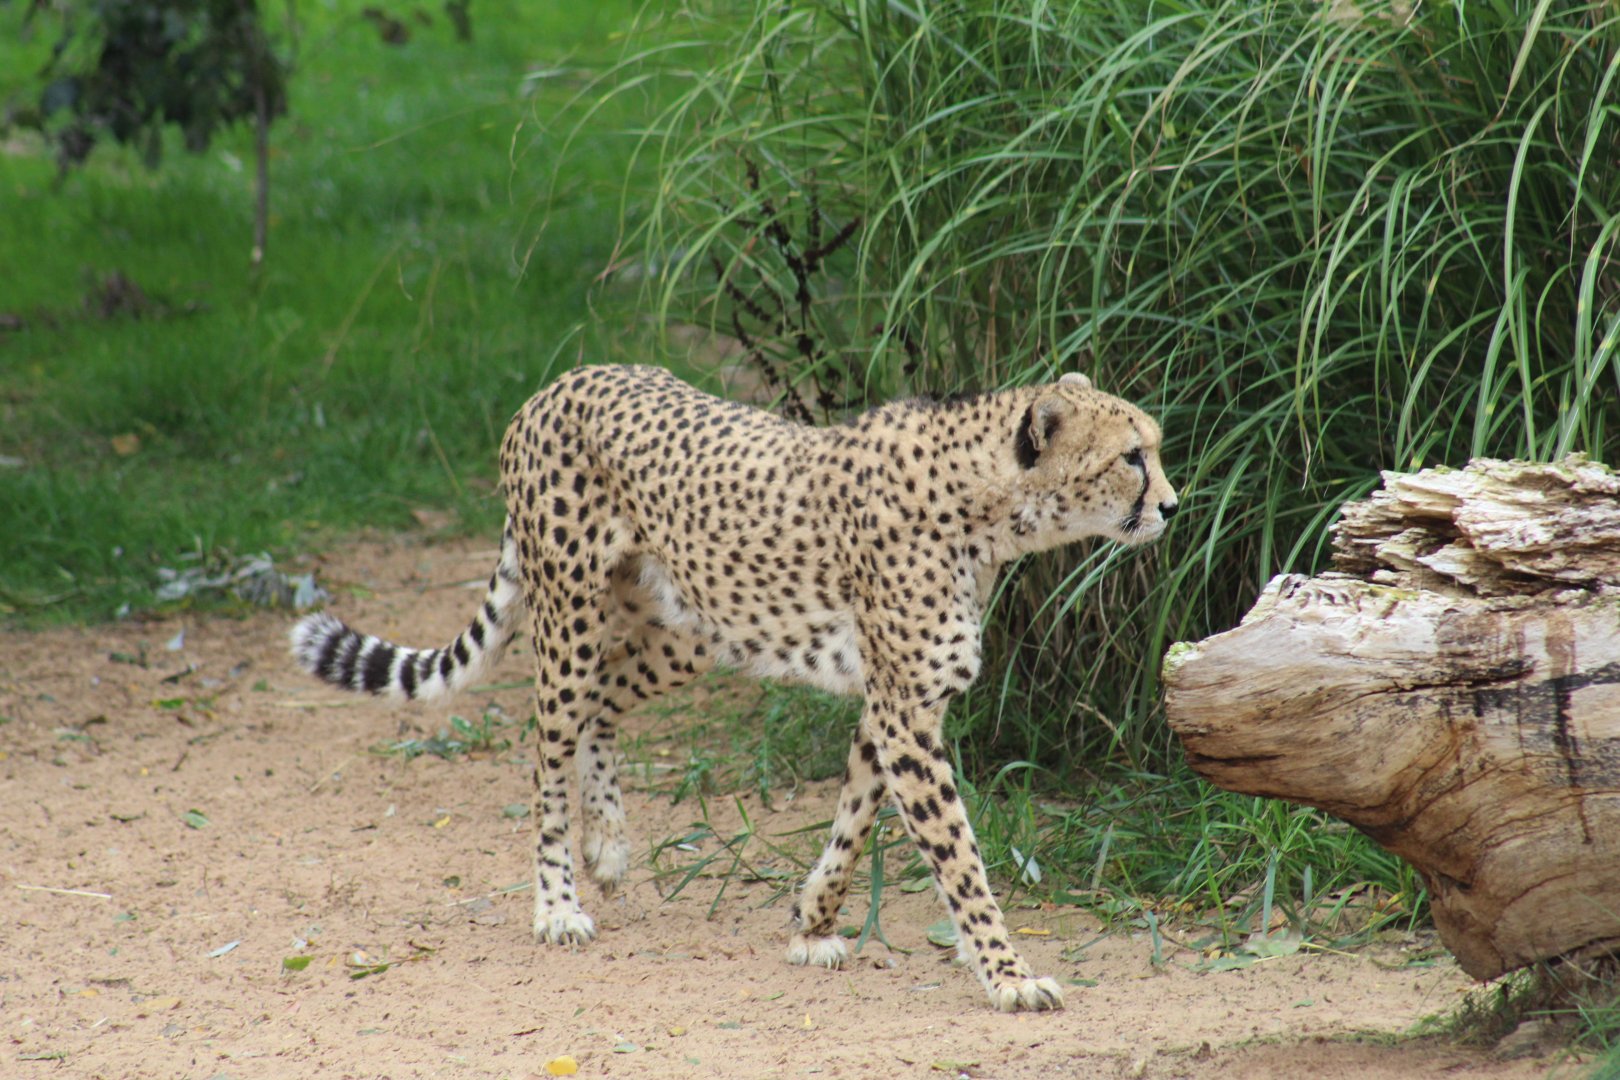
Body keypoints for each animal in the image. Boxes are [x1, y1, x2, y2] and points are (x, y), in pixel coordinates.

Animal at [290, 363, 1177, 1012]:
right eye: (1131, 456)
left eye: (1154, 449)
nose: (1172, 505)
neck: (989, 509)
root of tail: (559, 382)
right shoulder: (905, 712)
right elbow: (960, 860)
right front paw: (1008, 975)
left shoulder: (895, 703)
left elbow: (855, 820)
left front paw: (812, 919)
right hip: (571, 616)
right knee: (546, 747)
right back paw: (558, 902)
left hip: (688, 630)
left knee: (599, 709)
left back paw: (609, 844)